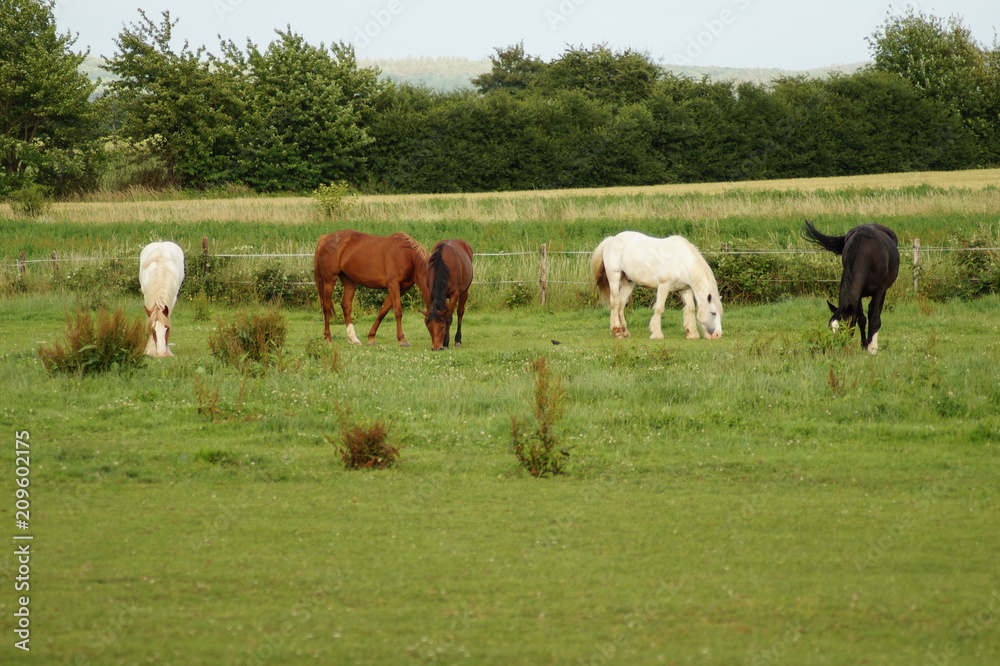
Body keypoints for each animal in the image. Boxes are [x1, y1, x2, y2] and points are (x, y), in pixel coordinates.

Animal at [588, 231, 724, 340]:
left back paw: (624, 332)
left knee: (621, 304)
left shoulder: (685, 289)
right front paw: (657, 334)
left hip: (628, 282)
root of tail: (612, 239)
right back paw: (616, 331)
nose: (717, 335)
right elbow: (659, 308)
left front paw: (692, 334)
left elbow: (690, 309)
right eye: (713, 313)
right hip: (614, 277)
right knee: (615, 303)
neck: (682, 261)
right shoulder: (664, 285)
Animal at [800, 220, 904, 352]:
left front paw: (872, 348)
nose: (836, 346)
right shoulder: (857, 295)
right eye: (830, 327)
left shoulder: (880, 291)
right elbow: (861, 319)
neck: (868, 255)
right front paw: (864, 344)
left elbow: (875, 320)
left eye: (843, 327)